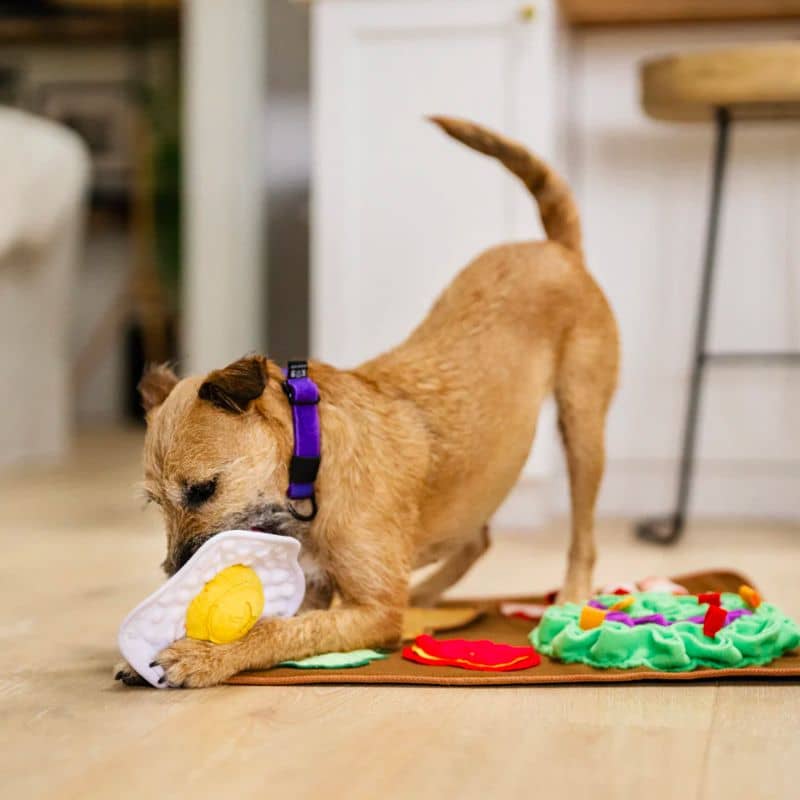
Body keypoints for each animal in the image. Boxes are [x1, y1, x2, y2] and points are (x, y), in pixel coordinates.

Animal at [115, 117, 620, 688]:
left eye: (204, 490)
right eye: (155, 504)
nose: (174, 574)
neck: (311, 458)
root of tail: (558, 250)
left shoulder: (372, 610)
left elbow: (274, 631)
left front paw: (203, 654)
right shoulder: (317, 591)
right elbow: (286, 621)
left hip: (583, 429)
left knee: (581, 537)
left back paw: (570, 597)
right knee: (475, 539)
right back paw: (426, 599)